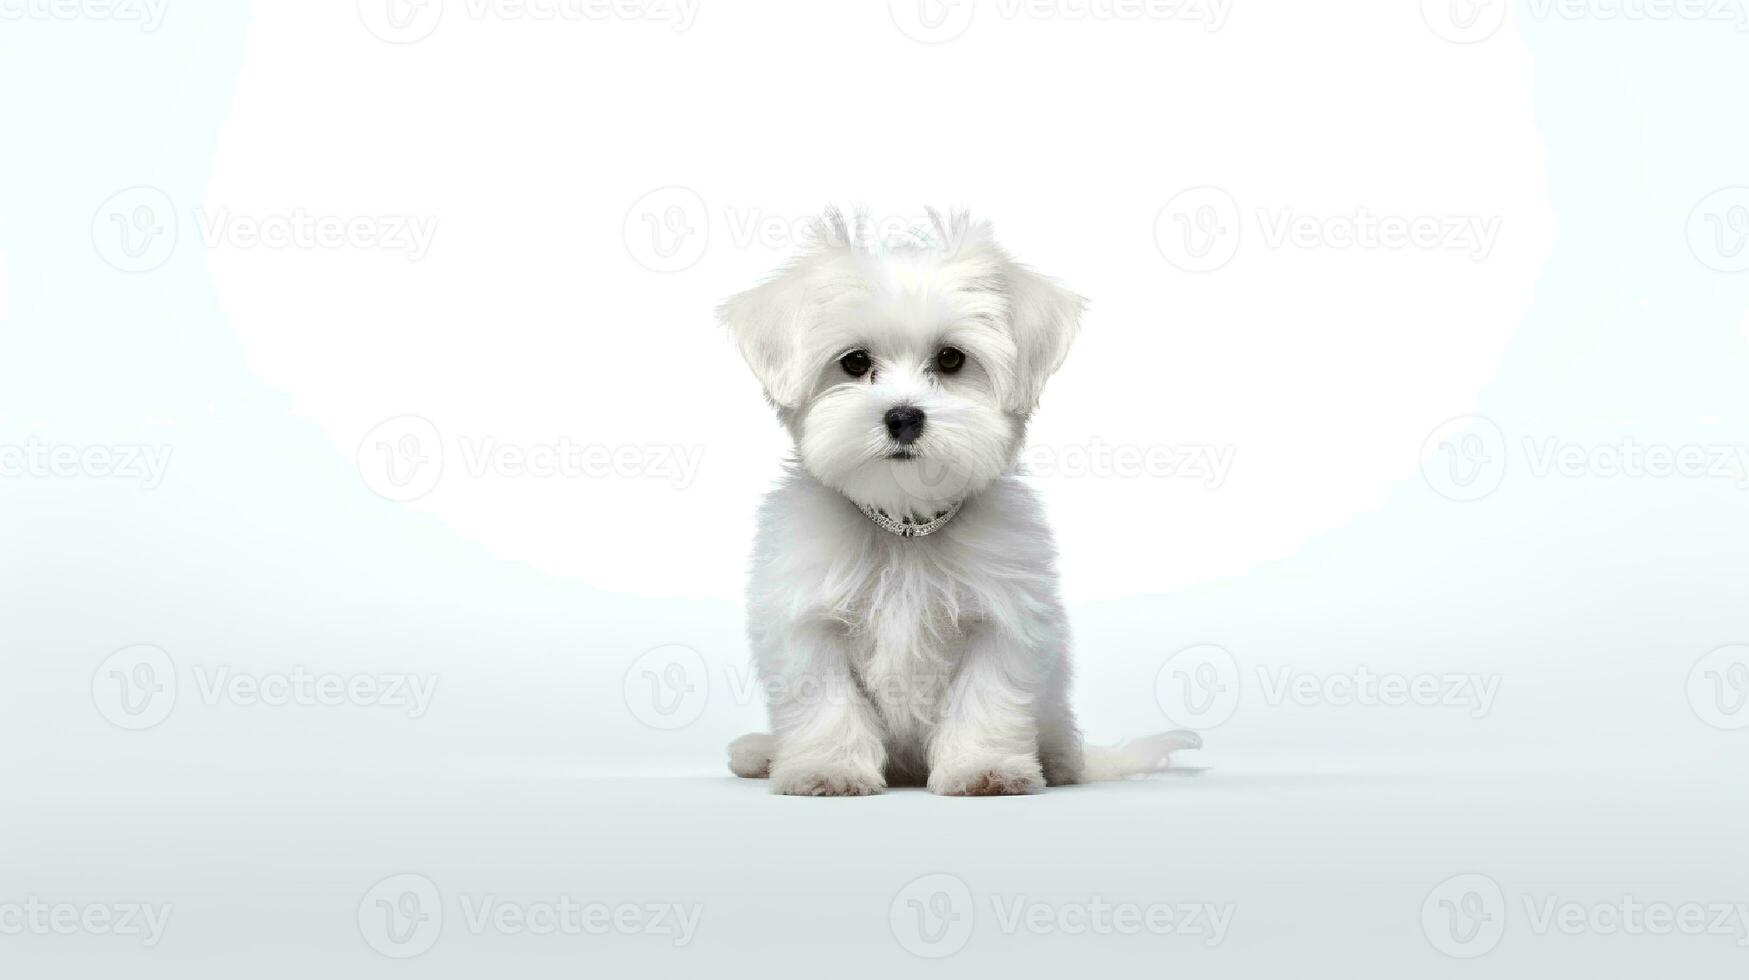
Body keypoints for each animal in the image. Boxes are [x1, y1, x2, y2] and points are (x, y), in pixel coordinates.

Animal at [717, 208, 1196, 798]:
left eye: (950, 359)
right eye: (854, 361)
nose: (903, 416)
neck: (903, 524)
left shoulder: (1001, 618)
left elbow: (987, 696)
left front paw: (983, 770)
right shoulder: (809, 620)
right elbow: (827, 700)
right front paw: (827, 770)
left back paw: (1058, 763)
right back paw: (761, 752)